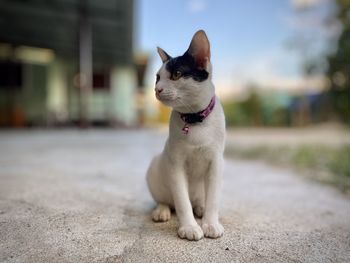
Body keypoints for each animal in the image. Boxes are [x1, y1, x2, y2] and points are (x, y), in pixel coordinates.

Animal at [146, 29, 226, 241]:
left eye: (177, 74)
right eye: (157, 77)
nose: (156, 89)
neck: (194, 118)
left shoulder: (216, 162)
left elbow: (214, 198)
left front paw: (210, 223)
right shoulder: (176, 164)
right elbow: (182, 202)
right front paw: (189, 227)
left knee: (199, 200)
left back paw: (200, 208)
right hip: (155, 168)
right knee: (167, 201)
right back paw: (162, 210)